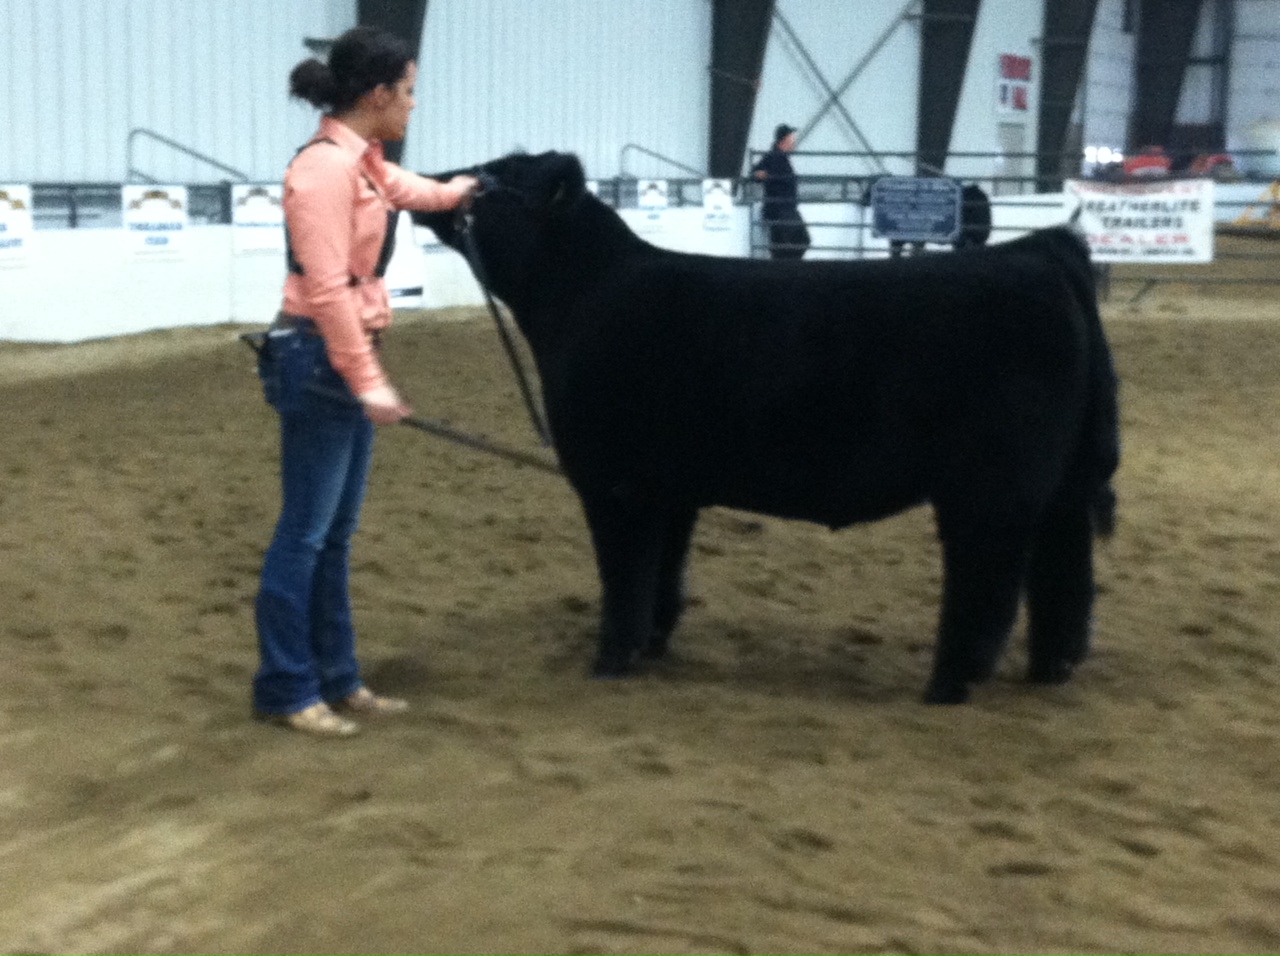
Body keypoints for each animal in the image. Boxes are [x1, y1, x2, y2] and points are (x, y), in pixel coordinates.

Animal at [413, 151, 1119, 704]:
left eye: (498, 178)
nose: (434, 180)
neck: (585, 294)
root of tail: (1039, 252)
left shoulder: (616, 485)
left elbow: (624, 575)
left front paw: (611, 658)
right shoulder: (671, 490)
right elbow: (663, 575)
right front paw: (653, 645)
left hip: (989, 488)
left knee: (990, 581)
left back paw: (949, 683)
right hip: (1056, 487)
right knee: (1064, 574)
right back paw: (1050, 668)